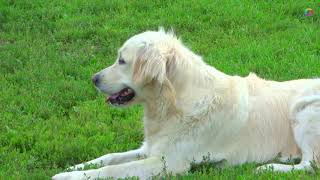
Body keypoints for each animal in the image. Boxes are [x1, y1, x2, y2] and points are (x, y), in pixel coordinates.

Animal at [52, 28, 320, 179]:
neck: (173, 103)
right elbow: (109, 157)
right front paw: (76, 166)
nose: (93, 79)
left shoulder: (167, 163)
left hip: (304, 111)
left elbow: (112, 170)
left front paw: (67, 177)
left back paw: (268, 168)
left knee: (310, 165)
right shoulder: (151, 148)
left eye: (121, 60)